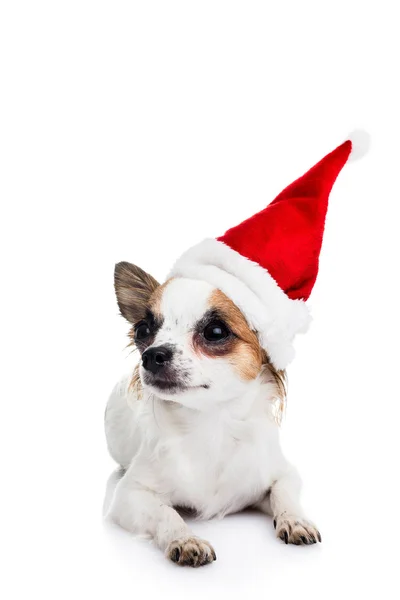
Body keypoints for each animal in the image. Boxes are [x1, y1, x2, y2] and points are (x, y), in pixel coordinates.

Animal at [103, 135, 366, 568]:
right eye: (144, 330)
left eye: (215, 331)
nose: (151, 355)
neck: (210, 425)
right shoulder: (129, 496)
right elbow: (167, 513)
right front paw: (186, 539)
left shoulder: (281, 473)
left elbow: (285, 493)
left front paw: (296, 520)